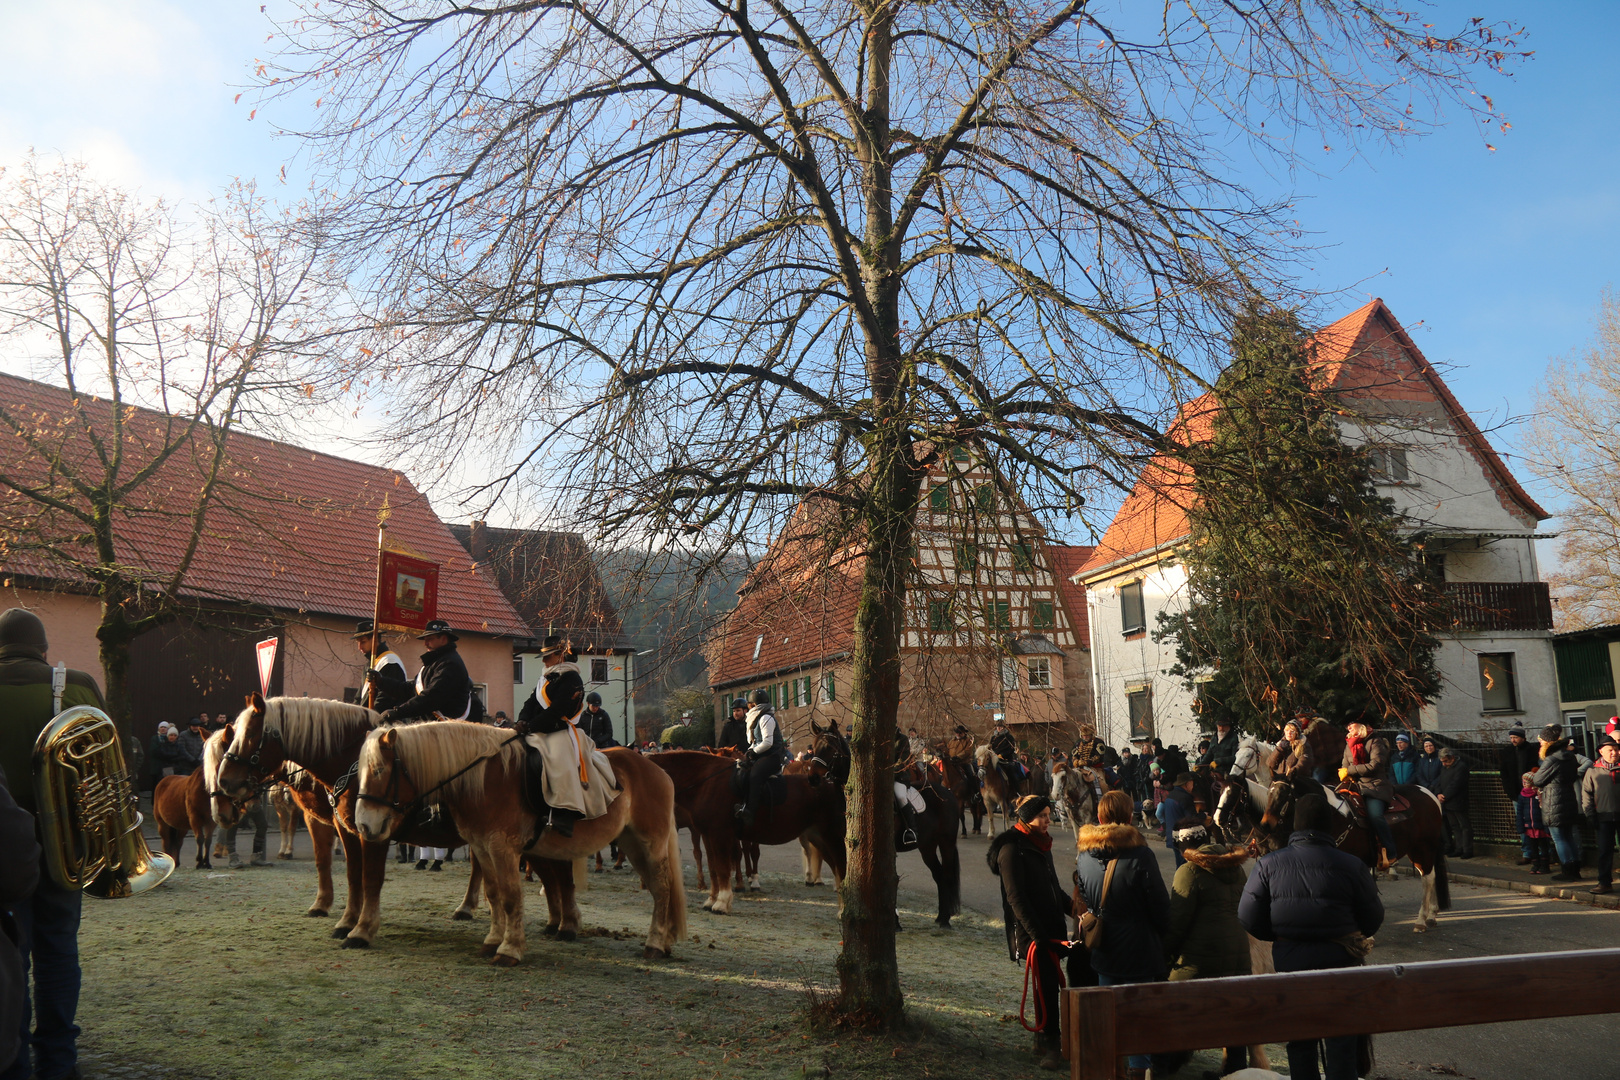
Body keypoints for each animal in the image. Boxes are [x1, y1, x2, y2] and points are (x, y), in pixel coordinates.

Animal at [218, 696, 489, 952]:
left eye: (250, 734)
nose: (223, 781)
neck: (355, 765)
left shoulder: (374, 831)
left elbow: (370, 877)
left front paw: (362, 930)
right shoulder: (343, 827)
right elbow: (348, 872)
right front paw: (345, 920)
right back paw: (468, 907)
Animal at [351, 718, 686, 965]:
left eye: (379, 771)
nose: (363, 825)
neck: (484, 777)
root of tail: (657, 769)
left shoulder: (503, 848)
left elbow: (511, 896)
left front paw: (509, 949)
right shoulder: (482, 847)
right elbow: (493, 894)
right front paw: (492, 941)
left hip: (651, 844)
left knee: (662, 888)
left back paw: (655, 944)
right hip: (631, 844)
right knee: (658, 889)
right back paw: (665, 940)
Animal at [651, 751, 848, 919]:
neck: (706, 782)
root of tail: (833, 784)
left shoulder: (720, 834)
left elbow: (723, 868)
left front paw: (722, 903)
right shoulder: (707, 835)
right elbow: (713, 868)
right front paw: (711, 900)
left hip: (833, 837)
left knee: (842, 868)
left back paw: (844, 910)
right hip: (819, 839)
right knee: (836, 870)